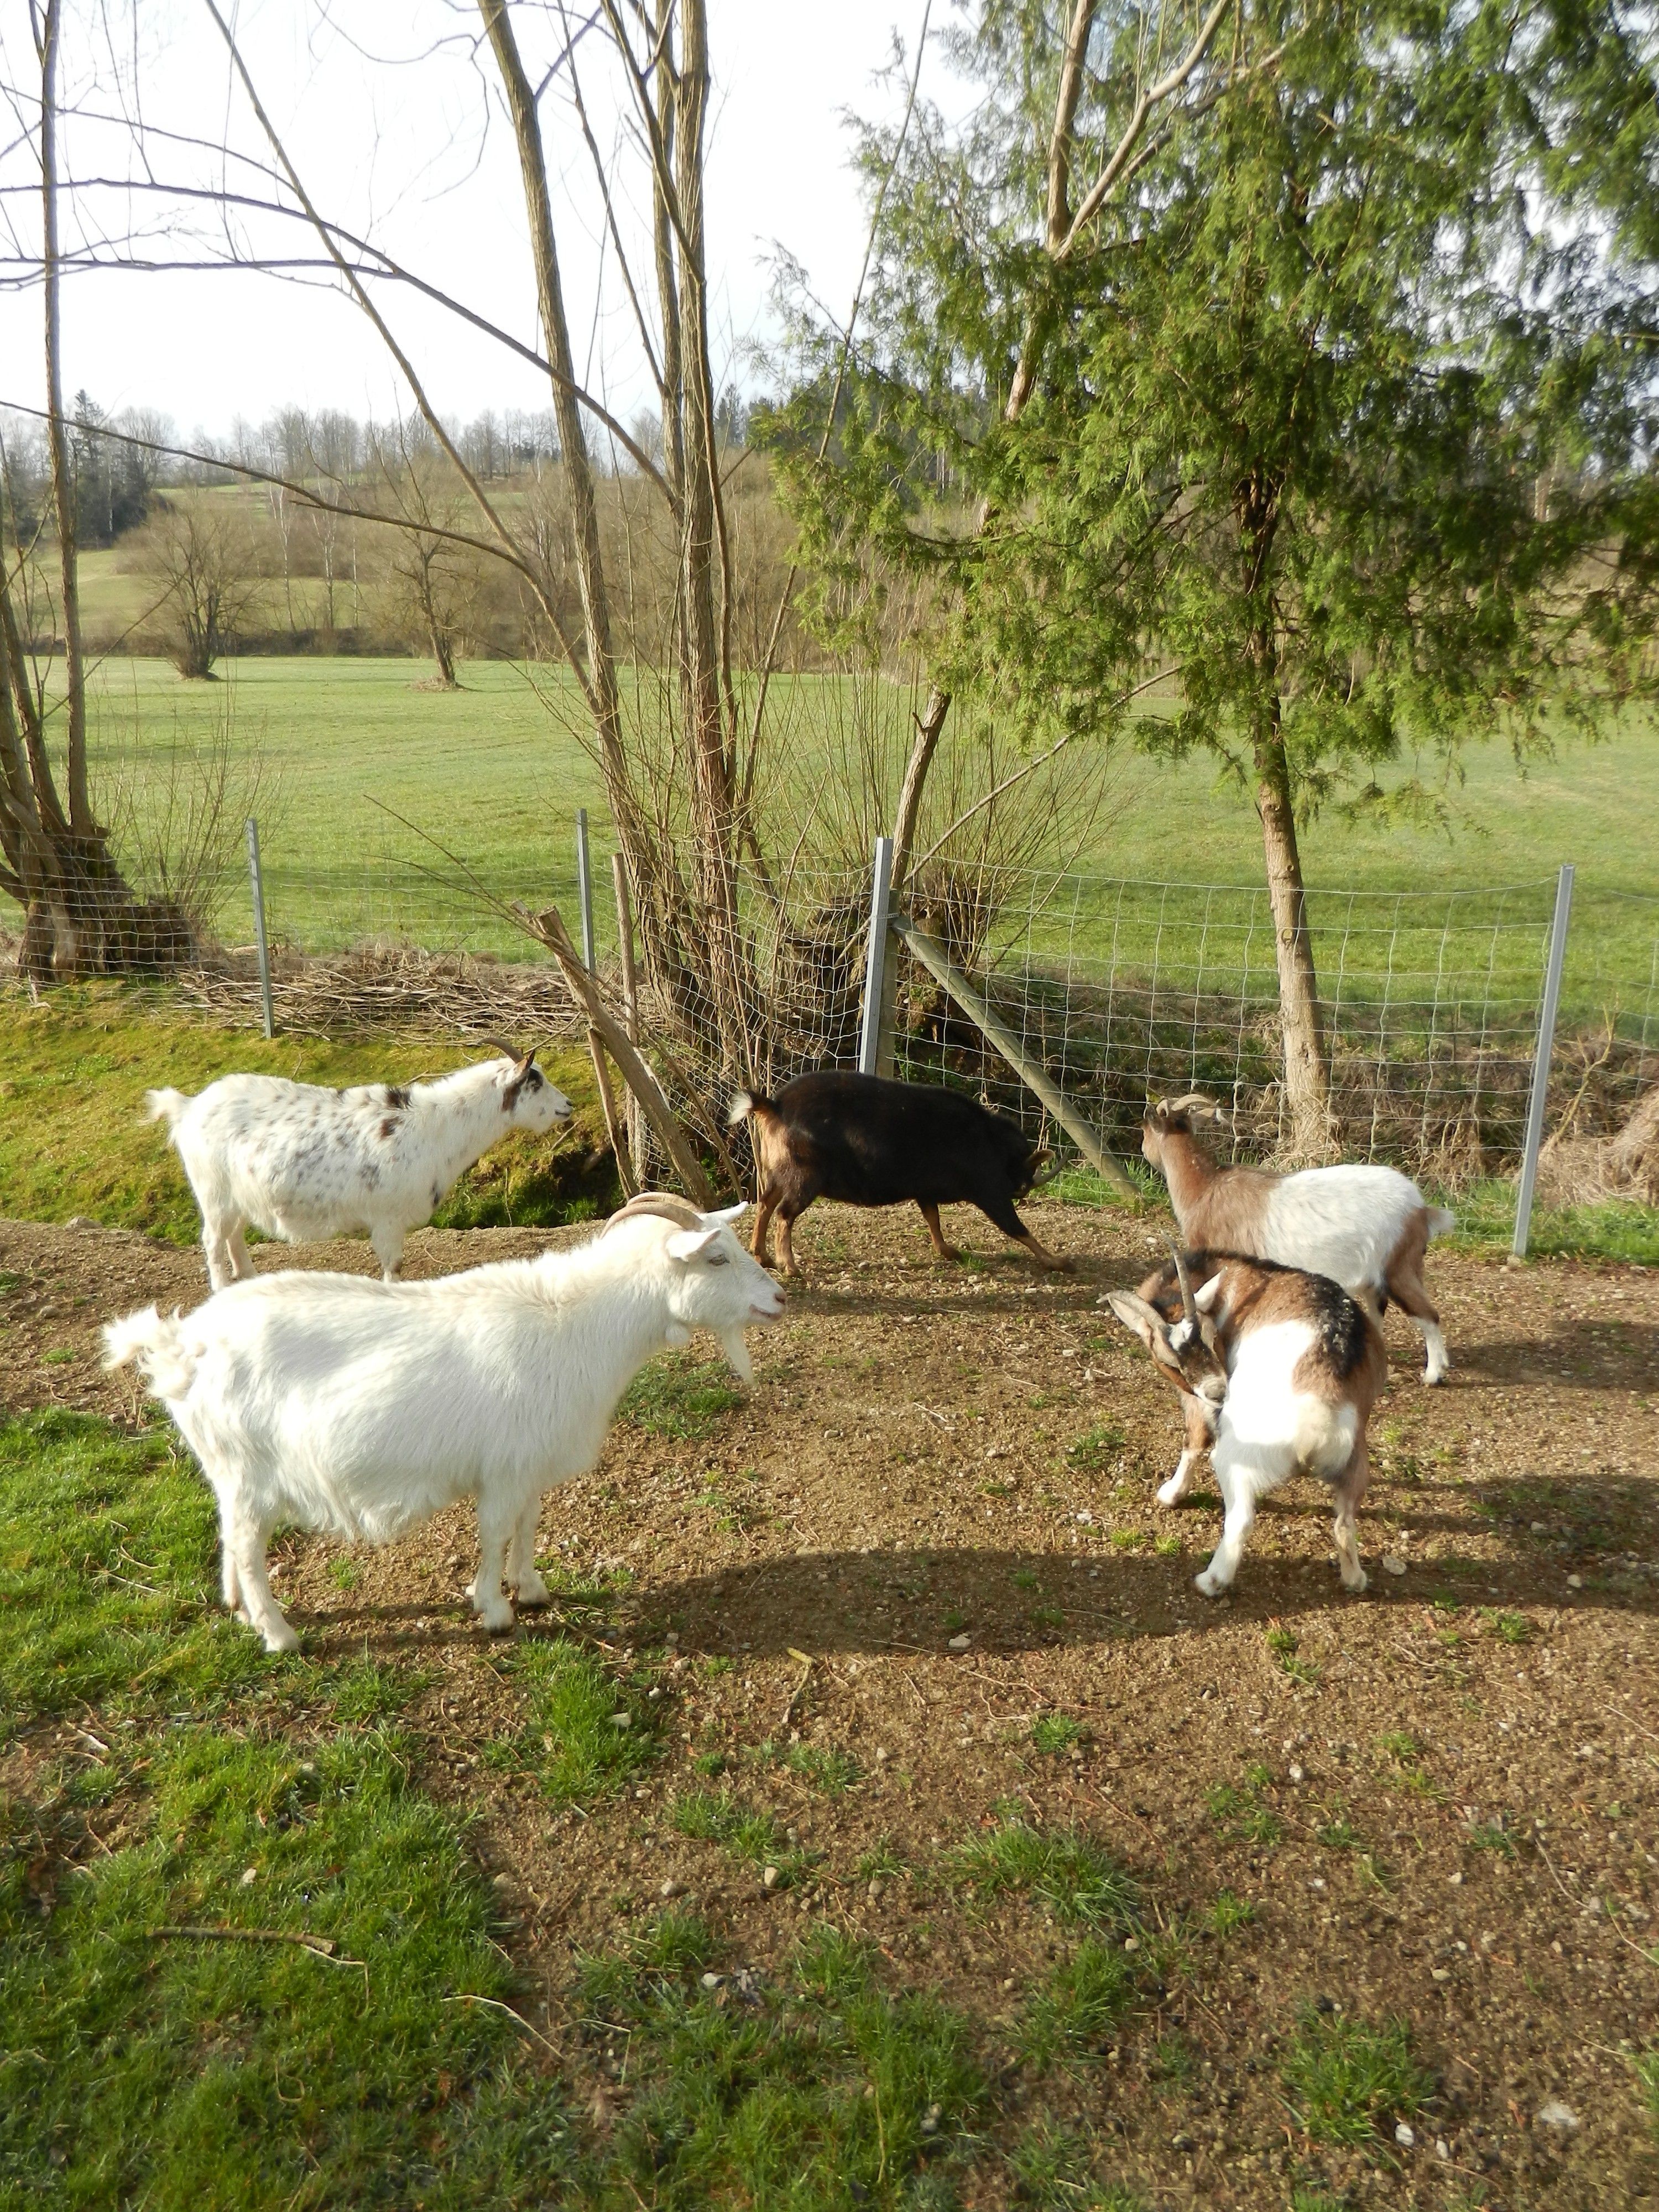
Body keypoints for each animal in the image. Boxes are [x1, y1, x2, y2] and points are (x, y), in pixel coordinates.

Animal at [102, 1192, 783, 1653]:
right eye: (717, 1257)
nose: (779, 1298)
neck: (576, 1323)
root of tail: (180, 1345)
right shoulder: (503, 1468)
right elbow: (494, 1532)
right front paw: (494, 1609)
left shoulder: (529, 1464)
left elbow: (528, 1524)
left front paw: (530, 1587)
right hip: (250, 1473)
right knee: (247, 1548)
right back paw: (279, 1633)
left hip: (225, 1469)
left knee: (228, 1534)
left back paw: (239, 1608)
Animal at [146, 1045, 572, 1290]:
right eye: (535, 1082)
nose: (567, 1106)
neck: (434, 1127)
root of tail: (187, 1108)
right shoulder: (388, 1217)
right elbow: (394, 1267)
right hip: (213, 1192)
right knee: (214, 1242)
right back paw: (223, 1290)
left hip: (238, 1195)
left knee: (234, 1235)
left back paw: (249, 1281)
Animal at [728, 1069, 1069, 1275]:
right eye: (1023, 1180)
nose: (1023, 1190)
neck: (992, 1144)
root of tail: (774, 1105)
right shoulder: (988, 1188)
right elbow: (1014, 1226)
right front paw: (1058, 1262)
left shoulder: (925, 1189)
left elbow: (933, 1218)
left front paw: (950, 1252)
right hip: (805, 1174)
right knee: (784, 1213)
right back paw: (790, 1266)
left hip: (777, 1169)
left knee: (765, 1203)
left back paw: (763, 1257)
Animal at [1103, 1247, 1387, 1597]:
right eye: (1170, 1361)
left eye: (1213, 1337)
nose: (1218, 1391)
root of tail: (1323, 1401)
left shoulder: (1199, 1402)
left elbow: (1193, 1440)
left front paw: (1170, 1494)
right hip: (1355, 1460)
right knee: (1345, 1524)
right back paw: (1355, 1579)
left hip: (1238, 1456)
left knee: (1240, 1519)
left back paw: (1211, 1581)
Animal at [1142, 1095, 1454, 1383]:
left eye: (1146, 1129)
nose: (1143, 1149)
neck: (1207, 1189)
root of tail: (1420, 1208)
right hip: (1374, 1276)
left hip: (1399, 1267)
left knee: (1429, 1315)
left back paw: (1433, 1374)